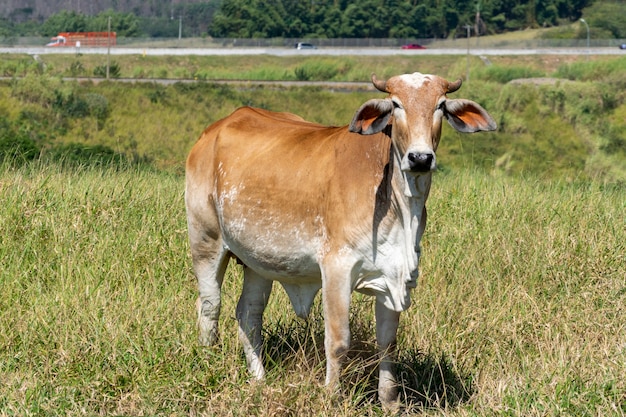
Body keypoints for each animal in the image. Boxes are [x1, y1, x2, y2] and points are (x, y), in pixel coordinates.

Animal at [183, 71, 494, 406]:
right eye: (396, 104)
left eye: (440, 105)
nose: (420, 158)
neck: (397, 201)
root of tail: (214, 129)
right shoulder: (336, 269)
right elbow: (338, 340)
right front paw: (332, 395)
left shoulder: (394, 274)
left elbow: (387, 343)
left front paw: (390, 401)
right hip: (206, 241)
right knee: (210, 305)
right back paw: (209, 362)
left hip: (258, 261)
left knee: (249, 315)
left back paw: (259, 379)